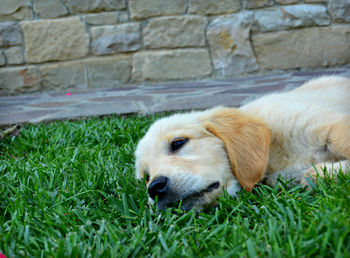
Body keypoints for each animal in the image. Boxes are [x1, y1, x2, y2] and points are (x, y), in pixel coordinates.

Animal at [134, 76, 350, 212]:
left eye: (178, 143)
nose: (154, 188)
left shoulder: (331, 126)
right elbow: (310, 176)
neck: (272, 153)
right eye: (146, 176)